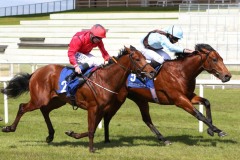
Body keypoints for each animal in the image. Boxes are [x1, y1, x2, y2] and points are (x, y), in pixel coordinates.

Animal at [0, 45, 157, 152]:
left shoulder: (101, 109)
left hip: (57, 100)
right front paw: (91, 149)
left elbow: (92, 128)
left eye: (145, 57)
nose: (152, 72)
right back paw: (9, 128)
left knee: (45, 111)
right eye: (137, 58)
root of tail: (35, 73)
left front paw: (73, 134)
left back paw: (50, 135)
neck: (105, 80)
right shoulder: (92, 108)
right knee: (22, 107)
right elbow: (91, 128)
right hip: (39, 99)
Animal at [103, 43, 232, 145]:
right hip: (118, 99)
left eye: (222, 59)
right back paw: (106, 139)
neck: (181, 72)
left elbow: (206, 102)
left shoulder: (189, 96)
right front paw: (218, 130)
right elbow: (199, 114)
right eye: (214, 59)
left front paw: (211, 130)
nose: (228, 76)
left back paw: (163, 139)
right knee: (107, 117)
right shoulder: (179, 99)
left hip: (140, 100)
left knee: (146, 119)